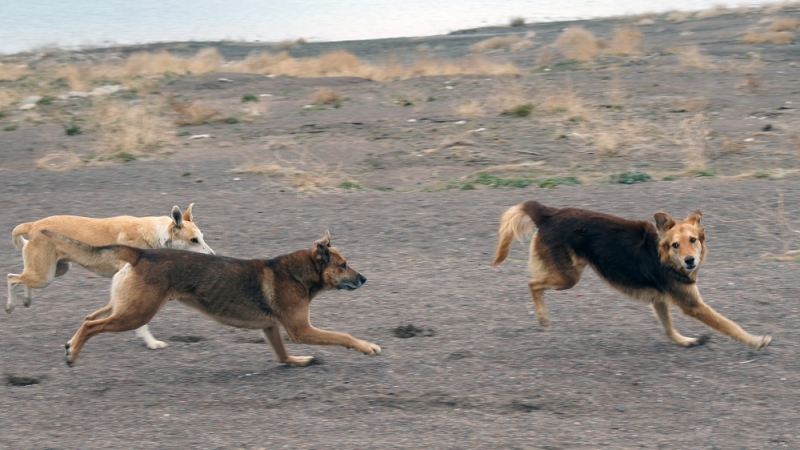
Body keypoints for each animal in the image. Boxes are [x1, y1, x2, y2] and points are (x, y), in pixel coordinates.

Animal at [7, 206, 214, 350]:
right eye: (193, 240)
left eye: (202, 237)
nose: (214, 256)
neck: (157, 235)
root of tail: (33, 225)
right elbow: (140, 322)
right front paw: (151, 342)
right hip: (44, 276)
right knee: (11, 278)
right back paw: (10, 305)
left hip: (56, 271)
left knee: (22, 277)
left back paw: (27, 299)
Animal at [39, 230, 382, 368]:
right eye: (343, 265)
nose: (364, 278)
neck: (300, 272)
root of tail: (141, 254)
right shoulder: (301, 330)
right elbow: (343, 336)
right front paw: (368, 347)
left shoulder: (271, 328)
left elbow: (282, 355)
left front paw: (296, 362)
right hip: (136, 313)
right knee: (92, 326)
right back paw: (73, 355)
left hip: (125, 304)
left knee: (89, 317)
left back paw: (70, 346)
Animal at [490, 200, 772, 352]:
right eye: (675, 245)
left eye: (693, 240)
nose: (690, 261)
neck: (664, 256)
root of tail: (549, 212)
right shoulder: (693, 305)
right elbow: (729, 325)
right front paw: (756, 341)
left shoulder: (659, 300)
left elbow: (668, 328)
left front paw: (685, 341)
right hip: (567, 277)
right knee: (533, 283)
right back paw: (543, 317)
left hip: (569, 274)